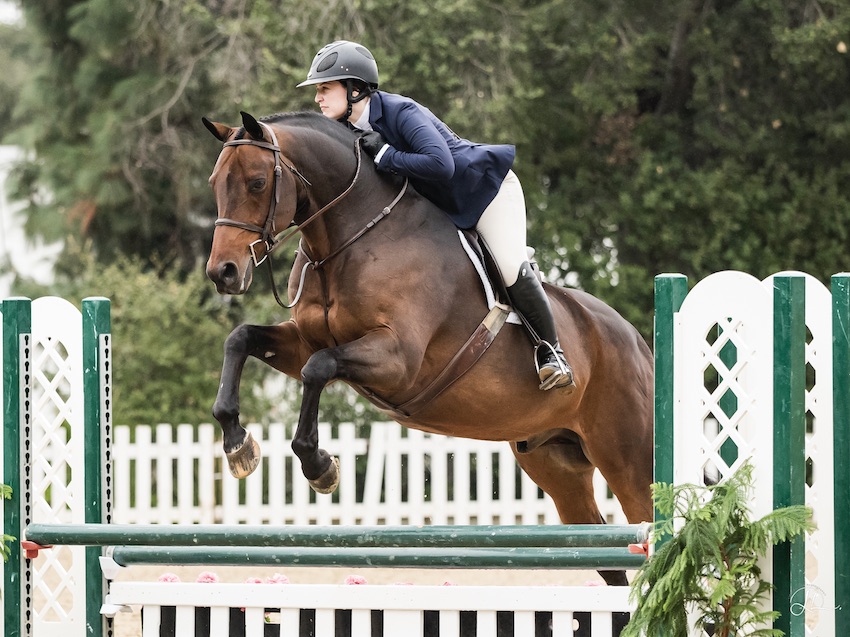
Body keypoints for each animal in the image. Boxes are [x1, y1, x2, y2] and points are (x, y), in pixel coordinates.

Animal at [202, 110, 652, 588]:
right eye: (215, 182)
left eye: (255, 182)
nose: (223, 273)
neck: (349, 237)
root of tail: (638, 342)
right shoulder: (306, 341)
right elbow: (242, 338)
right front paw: (238, 445)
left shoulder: (399, 359)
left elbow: (318, 369)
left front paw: (320, 466)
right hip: (556, 462)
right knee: (606, 556)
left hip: (628, 459)